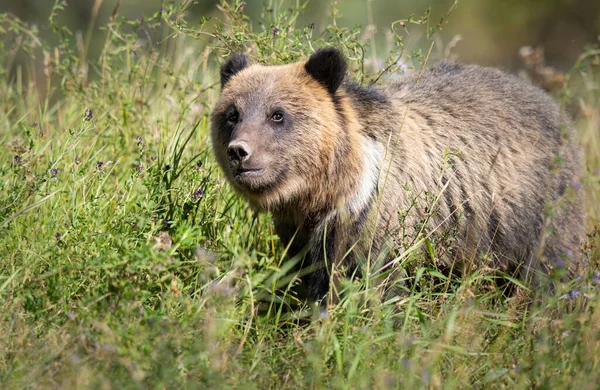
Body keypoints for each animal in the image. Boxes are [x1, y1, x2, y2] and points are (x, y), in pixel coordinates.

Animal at [211, 47, 584, 300]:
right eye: (233, 113)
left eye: (277, 114)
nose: (240, 151)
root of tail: (552, 103)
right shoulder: (298, 232)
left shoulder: (373, 222)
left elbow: (374, 285)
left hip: (533, 214)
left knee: (546, 273)